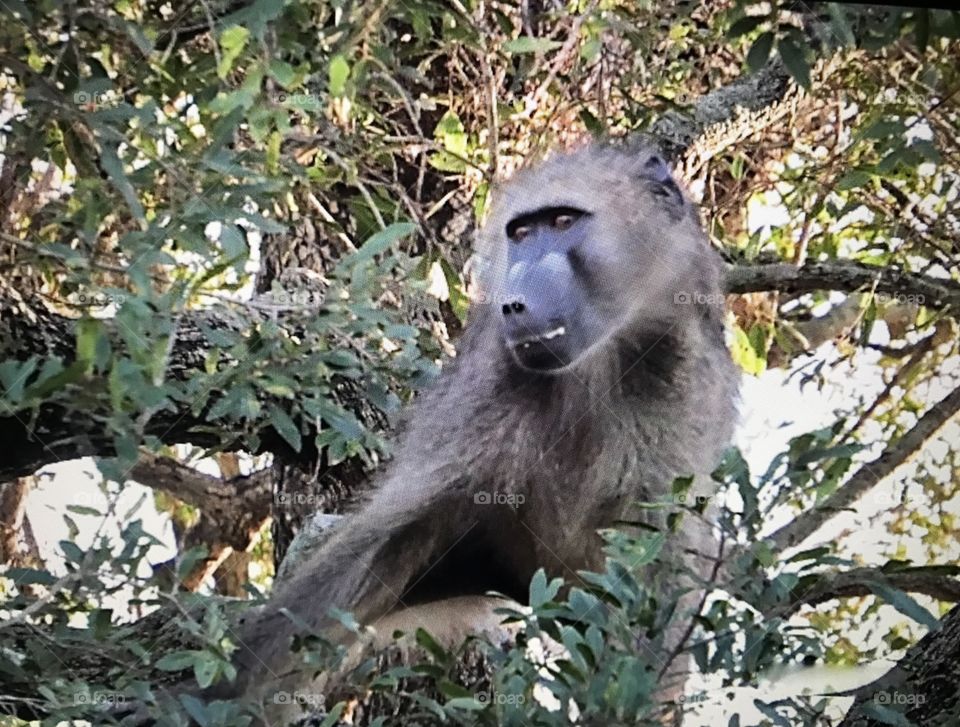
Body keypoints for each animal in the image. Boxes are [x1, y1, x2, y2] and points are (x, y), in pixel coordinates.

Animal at [210, 142, 740, 721]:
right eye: (522, 233)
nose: (515, 302)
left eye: (563, 221)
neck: (595, 367)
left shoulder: (680, 387)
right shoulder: (482, 397)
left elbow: (659, 564)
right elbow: (394, 528)